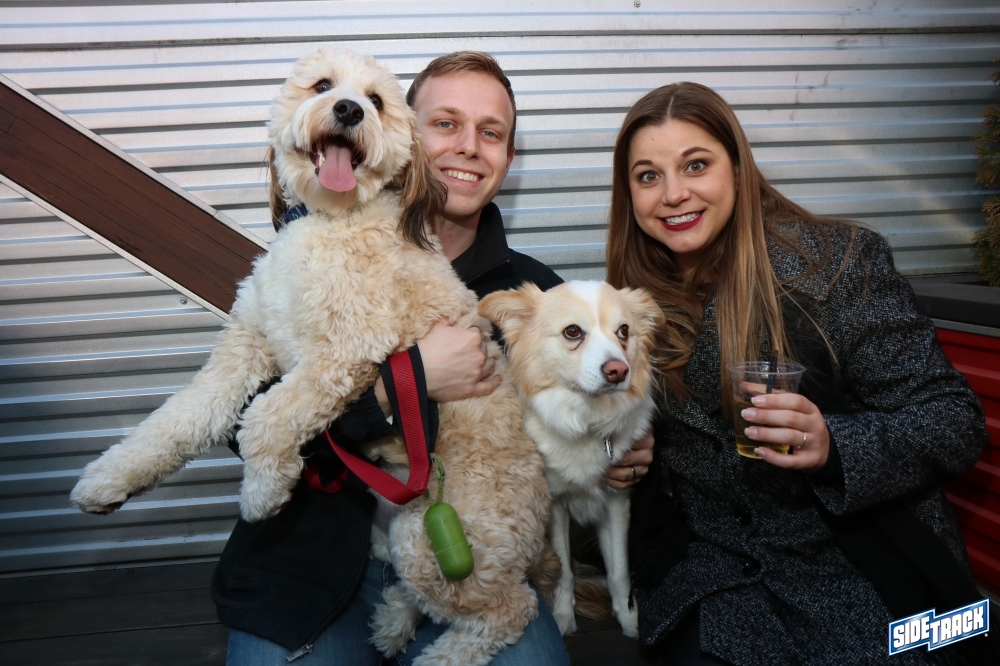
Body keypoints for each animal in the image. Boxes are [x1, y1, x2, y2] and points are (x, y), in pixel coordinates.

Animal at [70, 49, 552, 665]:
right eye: (323, 86)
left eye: (376, 101)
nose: (347, 109)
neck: (331, 219)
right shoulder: (248, 342)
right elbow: (183, 418)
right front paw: (110, 479)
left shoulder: (346, 352)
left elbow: (265, 418)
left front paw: (264, 492)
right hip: (408, 531)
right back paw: (392, 622)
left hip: (438, 541)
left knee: (512, 609)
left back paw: (439, 654)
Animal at [480, 280, 663, 639]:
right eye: (573, 332)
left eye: (624, 331)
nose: (619, 370)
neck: (587, 421)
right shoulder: (555, 505)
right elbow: (563, 570)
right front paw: (564, 617)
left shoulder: (616, 502)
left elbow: (619, 570)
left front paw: (628, 618)